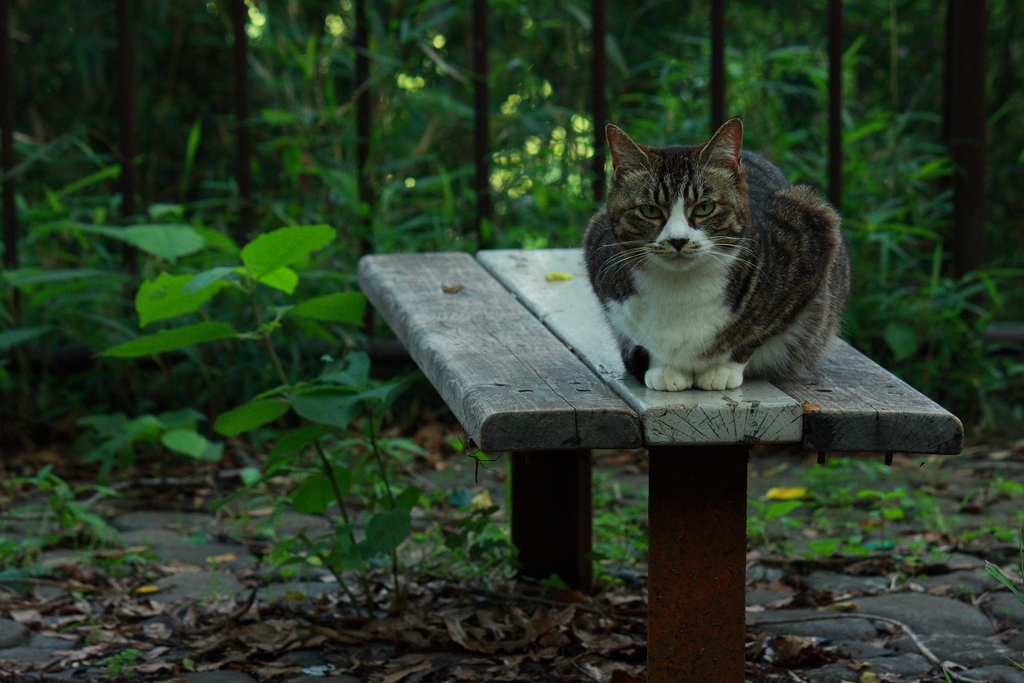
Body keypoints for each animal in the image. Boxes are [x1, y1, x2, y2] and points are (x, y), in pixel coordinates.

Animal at [581, 120, 851, 393]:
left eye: (704, 207)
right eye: (650, 210)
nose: (678, 240)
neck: (681, 289)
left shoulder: (814, 238)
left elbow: (753, 335)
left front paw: (722, 370)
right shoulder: (598, 252)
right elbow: (643, 340)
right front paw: (663, 369)